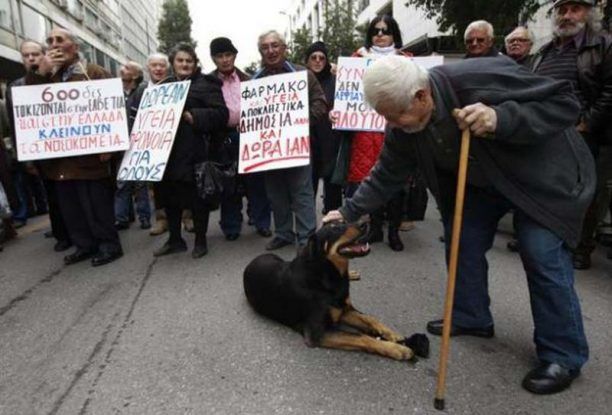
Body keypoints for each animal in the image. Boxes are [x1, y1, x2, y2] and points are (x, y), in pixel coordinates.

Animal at [241, 223, 428, 362]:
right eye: (335, 229)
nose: (365, 223)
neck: (328, 275)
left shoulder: (344, 310)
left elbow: (370, 318)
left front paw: (391, 334)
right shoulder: (318, 333)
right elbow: (361, 336)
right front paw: (396, 349)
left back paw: (353, 274)